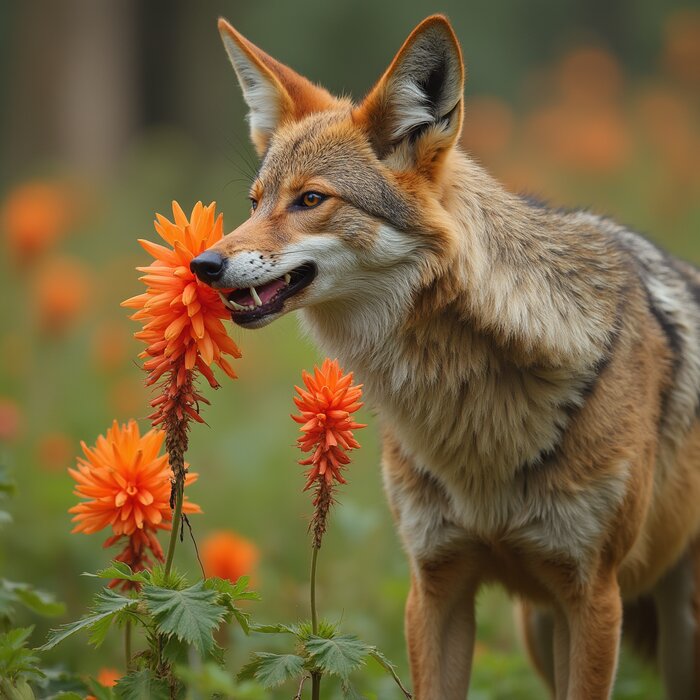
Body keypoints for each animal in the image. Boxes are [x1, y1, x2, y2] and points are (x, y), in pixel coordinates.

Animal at [190, 12, 700, 700]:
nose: (203, 264)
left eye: (310, 200)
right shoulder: (436, 585)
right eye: (254, 202)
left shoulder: (593, 595)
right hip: (540, 627)